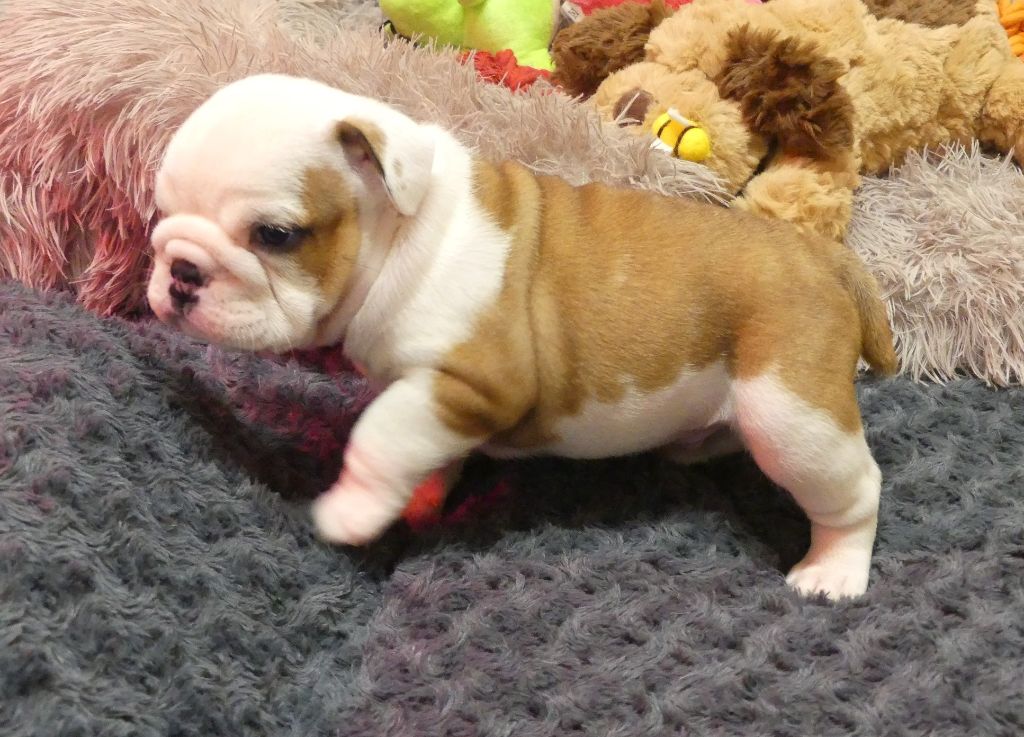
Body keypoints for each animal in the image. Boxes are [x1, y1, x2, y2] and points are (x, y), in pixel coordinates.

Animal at [147, 73, 898, 601]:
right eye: (160, 215)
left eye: (276, 235)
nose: (180, 272)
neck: (404, 235)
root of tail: (820, 255)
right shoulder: (432, 399)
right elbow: (416, 444)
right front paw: (419, 496)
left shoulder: (475, 381)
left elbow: (379, 435)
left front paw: (352, 510)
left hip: (791, 414)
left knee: (856, 488)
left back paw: (832, 572)